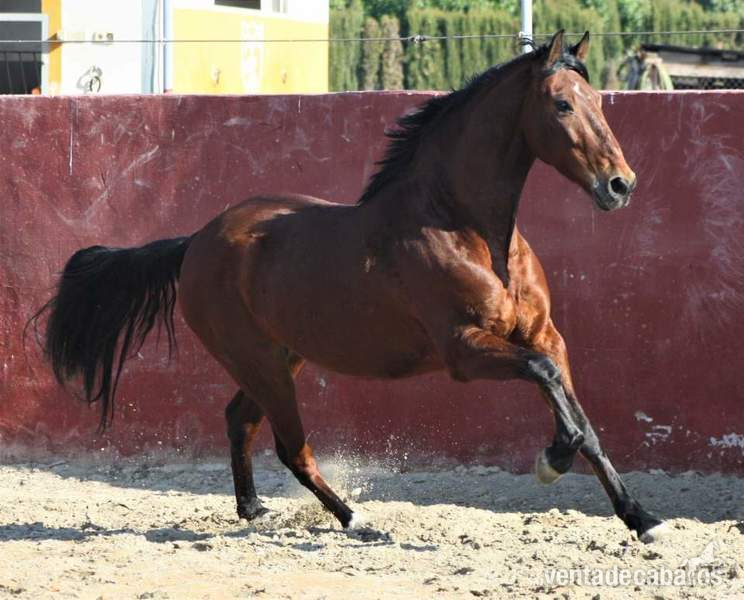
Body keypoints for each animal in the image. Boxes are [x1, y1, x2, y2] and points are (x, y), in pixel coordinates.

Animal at [31, 30, 667, 543]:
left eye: (600, 100)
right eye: (561, 104)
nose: (621, 185)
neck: (467, 229)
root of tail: (195, 242)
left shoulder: (545, 335)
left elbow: (583, 421)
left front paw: (641, 518)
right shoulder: (465, 350)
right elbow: (549, 385)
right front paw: (550, 460)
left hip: (279, 358)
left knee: (239, 419)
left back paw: (254, 509)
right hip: (261, 362)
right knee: (291, 447)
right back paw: (357, 521)